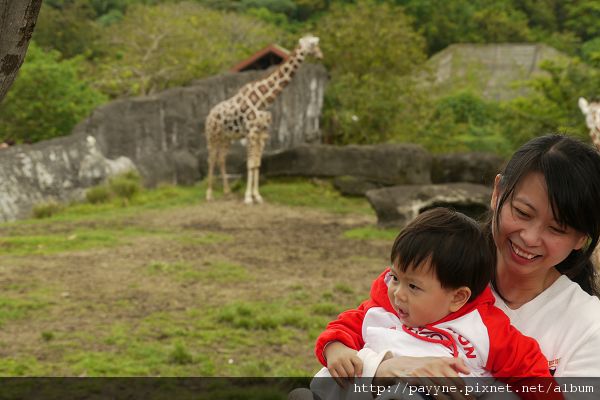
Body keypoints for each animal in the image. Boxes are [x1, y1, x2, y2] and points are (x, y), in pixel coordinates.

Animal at [205, 34, 324, 203]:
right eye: (313, 44)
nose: (321, 55)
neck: (264, 101)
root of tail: (210, 114)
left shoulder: (262, 133)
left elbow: (257, 164)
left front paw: (257, 196)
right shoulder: (251, 132)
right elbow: (250, 164)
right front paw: (248, 198)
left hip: (226, 137)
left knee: (221, 158)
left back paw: (227, 192)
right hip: (212, 135)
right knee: (211, 159)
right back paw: (209, 195)